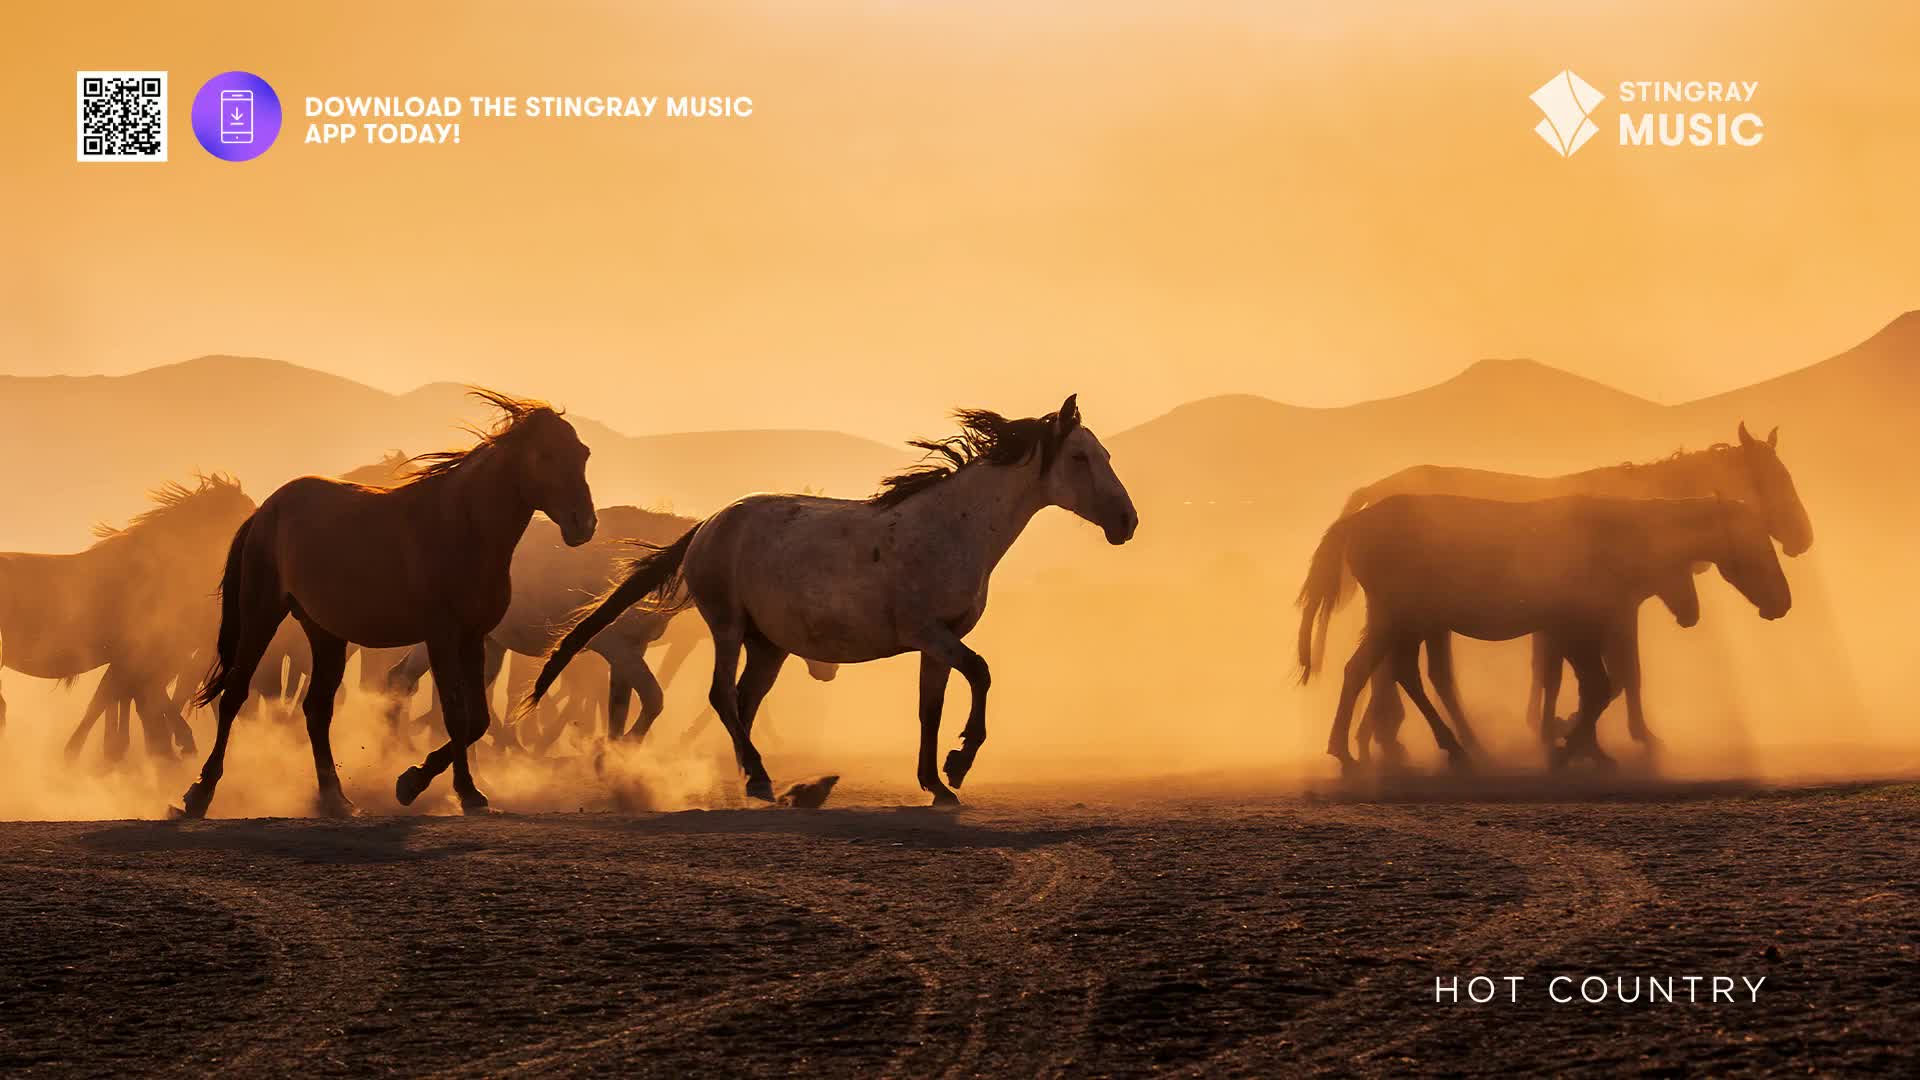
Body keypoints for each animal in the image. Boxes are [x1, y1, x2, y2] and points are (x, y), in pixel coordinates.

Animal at [177, 390, 596, 818]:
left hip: (326, 634)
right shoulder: (442, 637)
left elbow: (477, 718)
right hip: (261, 616)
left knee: (317, 709)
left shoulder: (474, 637)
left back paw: (335, 798)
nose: (583, 524)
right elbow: (455, 714)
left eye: (582, 453)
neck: (463, 528)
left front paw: (419, 781)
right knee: (234, 694)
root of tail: (266, 510)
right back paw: (200, 793)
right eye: (545, 455)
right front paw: (457, 790)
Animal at [530, 395, 1137, 805]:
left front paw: (936, 783)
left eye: (1104, 453)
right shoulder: (930, 633)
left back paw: (756, 777)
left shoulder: (939, 643)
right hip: (728, 627)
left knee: (744, 701)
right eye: (1080, 458)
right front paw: (959, 763)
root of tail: (709, 524)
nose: (1126, 522)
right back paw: (758, 777)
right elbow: (983, 675)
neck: (953, 527)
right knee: (723, 696)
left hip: (769, 645)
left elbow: (931, 708)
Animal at [1297, 493, 1791, 773]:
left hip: (1407, 622)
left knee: (1387, 672)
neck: (1618, 534)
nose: (1782, 602)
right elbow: (1601, 685)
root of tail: (1356, 522)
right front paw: (1567, 747)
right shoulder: (1576, 627)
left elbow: (1600, 684)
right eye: (1756, 543)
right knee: (1377, 672)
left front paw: (1583, 745)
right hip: (1399, 618)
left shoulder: (1579, 629)